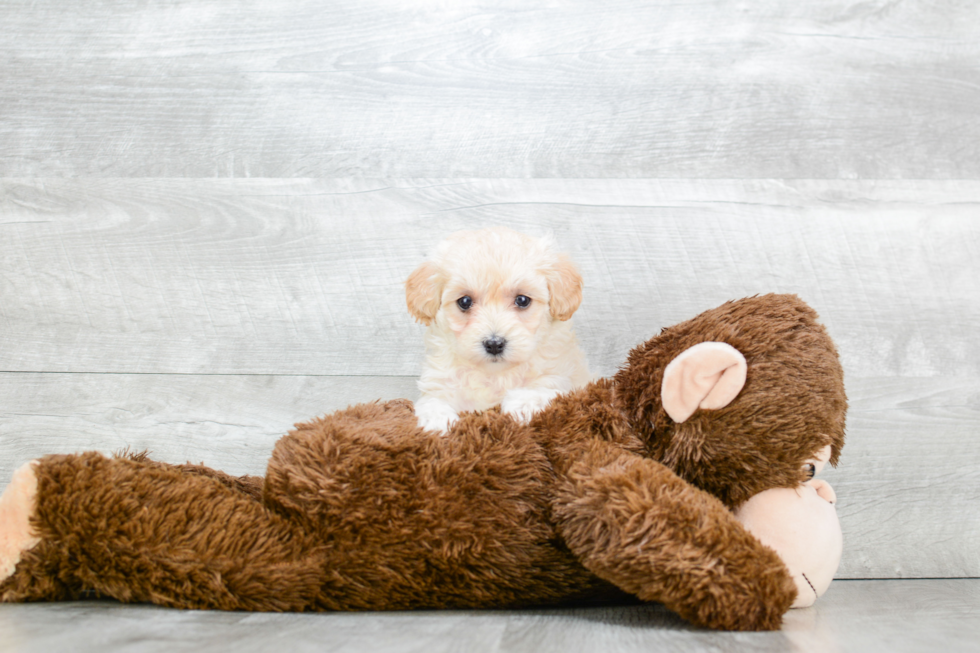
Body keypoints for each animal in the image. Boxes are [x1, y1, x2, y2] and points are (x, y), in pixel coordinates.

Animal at [406, 227, 588, 436]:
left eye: (522, 300)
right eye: (465, 301)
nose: (494, 344)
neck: (494, 375)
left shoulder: (562, 379)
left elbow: (541, 387)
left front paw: (522, 405)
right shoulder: (439, 383)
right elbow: (432, 400)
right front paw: (437, 421)